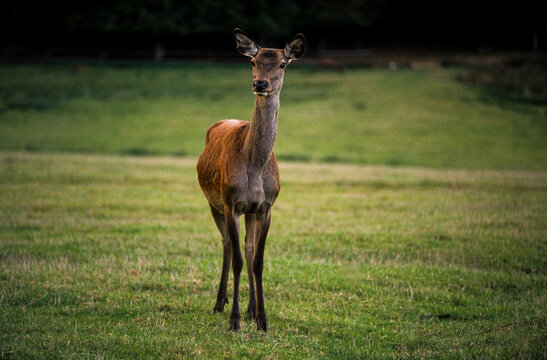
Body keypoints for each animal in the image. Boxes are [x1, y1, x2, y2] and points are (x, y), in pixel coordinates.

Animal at [197, 28, 306, 332]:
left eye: (282, 63)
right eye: (252, 61)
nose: (260, 83)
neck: (255, 167)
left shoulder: (266, 206)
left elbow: (257, 260)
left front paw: (262, 320)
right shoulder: (231, 202)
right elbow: (237, 260)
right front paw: (234, 321)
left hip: (248, 211)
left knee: (245, 247)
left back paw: (250, 308)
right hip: (214, 202)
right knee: (226, 244)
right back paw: (220, 303)